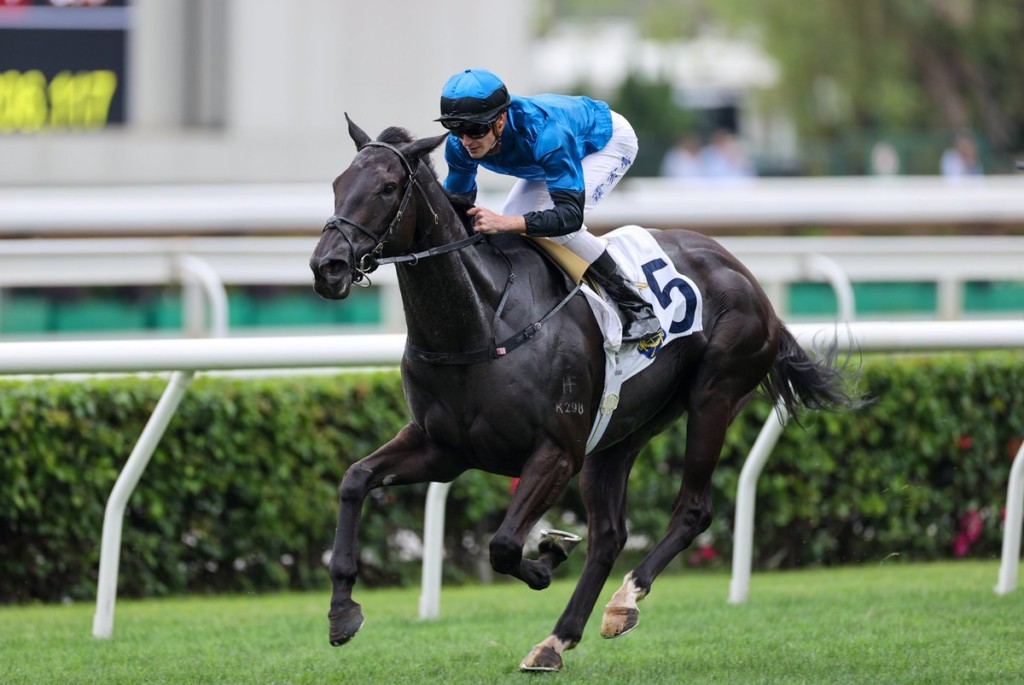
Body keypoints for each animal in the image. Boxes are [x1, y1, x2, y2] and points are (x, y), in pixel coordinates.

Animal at [309, 115, 855, 672]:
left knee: (693, 510)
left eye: (387, 188)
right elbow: (355, 480)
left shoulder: (557, 451)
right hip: (621, 431)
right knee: (610, 534)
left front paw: (547, 558)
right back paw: (557, 639)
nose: (327, 267)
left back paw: (624, 600)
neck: (482, 322)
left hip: (714, 397)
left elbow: (504, 545)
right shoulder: (444, 449)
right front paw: (342, 611)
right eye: (337, 183)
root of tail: (749, 280)